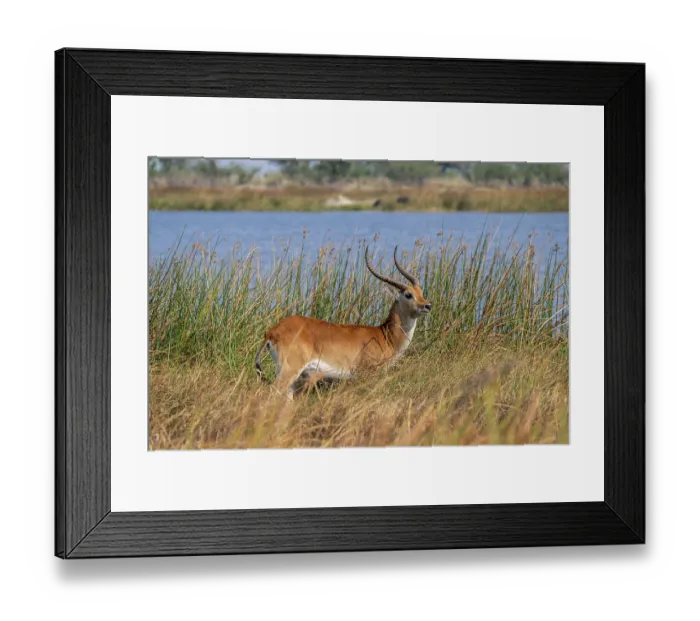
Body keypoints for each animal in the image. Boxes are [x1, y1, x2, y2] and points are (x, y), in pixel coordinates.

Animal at [255, 246, 432, 399]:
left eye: (420, 292)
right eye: (408, 294)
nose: (427, 306)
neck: (385, 336)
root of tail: (272, 332)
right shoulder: (369, 374)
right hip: (289, 371)